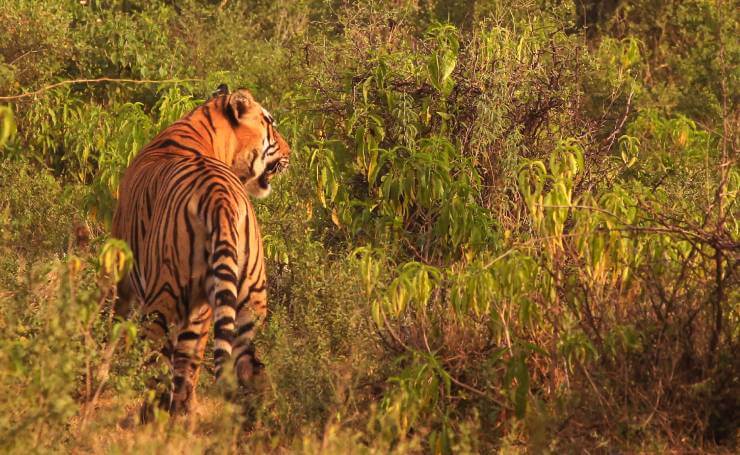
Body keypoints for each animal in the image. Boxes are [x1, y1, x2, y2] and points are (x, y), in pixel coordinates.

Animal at [111, 83, 290, 418]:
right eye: (270, 123)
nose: (290, 152)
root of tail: (220, 198)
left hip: (165, 293)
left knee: (159, 357)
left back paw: (152, 414)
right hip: (250, 299)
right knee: (246, 366)